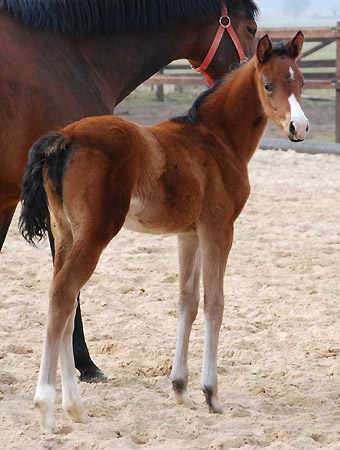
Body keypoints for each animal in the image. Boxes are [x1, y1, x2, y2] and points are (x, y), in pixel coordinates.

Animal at [19, 32, 310, 432]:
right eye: (268, 85)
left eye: (301, 82)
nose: (300, 127)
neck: (215, 140)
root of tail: (62, 138)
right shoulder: (219, 228)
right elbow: (215, 303)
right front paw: (211, 394)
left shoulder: (189, 234)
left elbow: (187, 302)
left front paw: (181, 390)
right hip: (94, 234)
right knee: (64, 293)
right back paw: (46, 408)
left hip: (65, 233)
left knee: (63, 297)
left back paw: (75, 408)